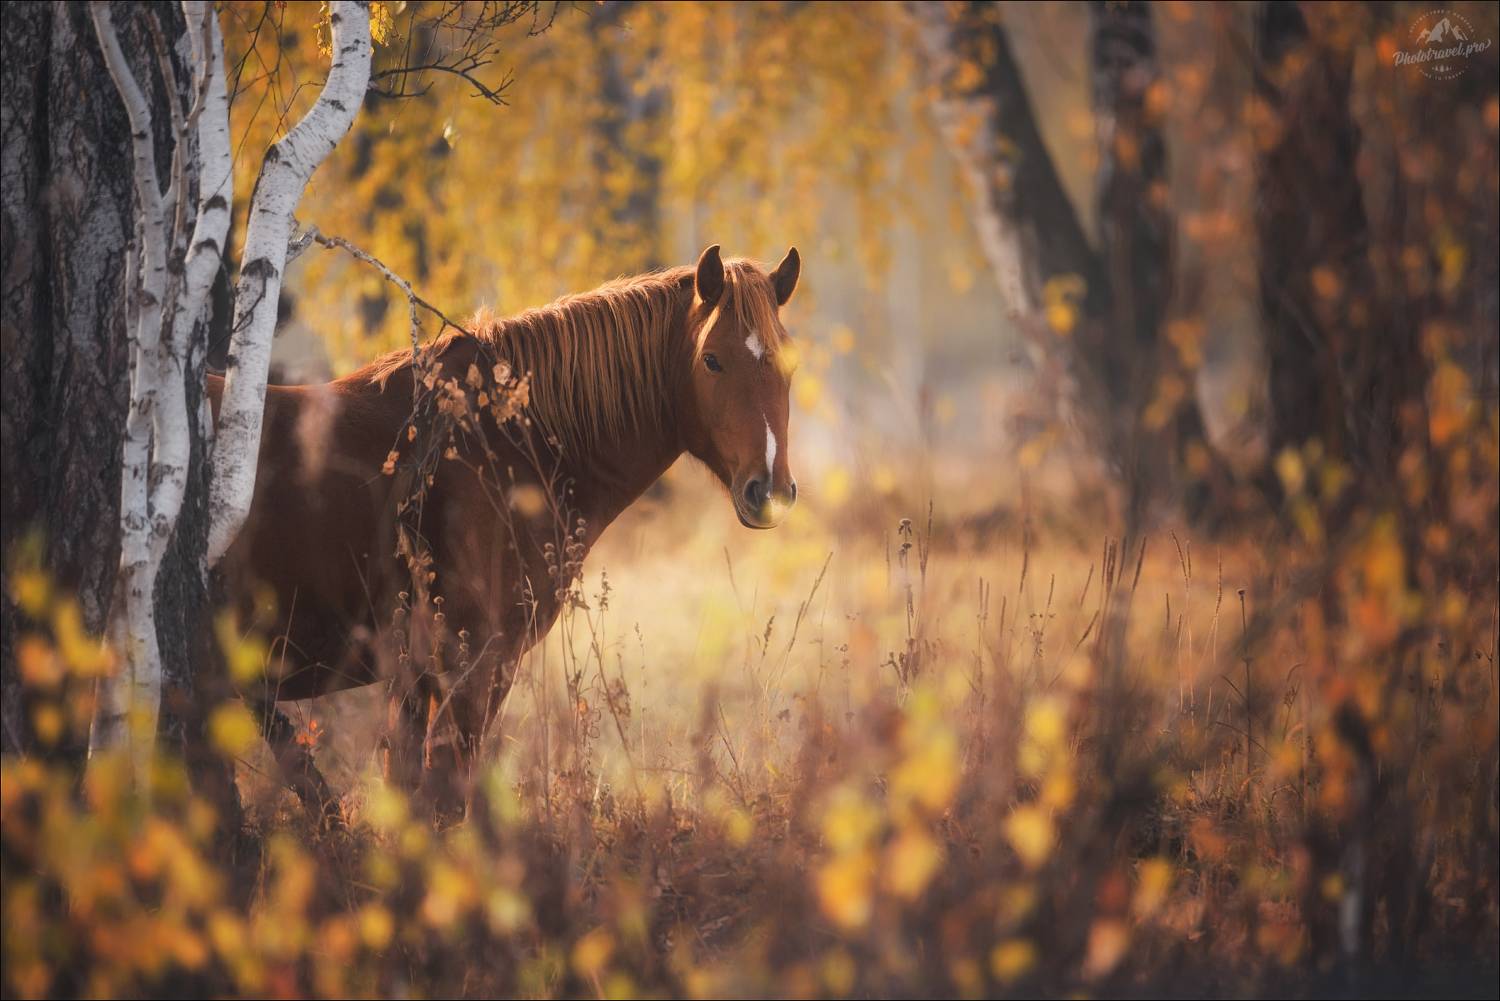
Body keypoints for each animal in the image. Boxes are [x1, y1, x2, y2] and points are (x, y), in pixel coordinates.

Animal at [208, 244, 801, 820]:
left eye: (789, 367)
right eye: (712, 359)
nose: (768, 490)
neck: (503, 442)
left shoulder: (416, 676)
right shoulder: (474, 662)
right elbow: (443, 798)